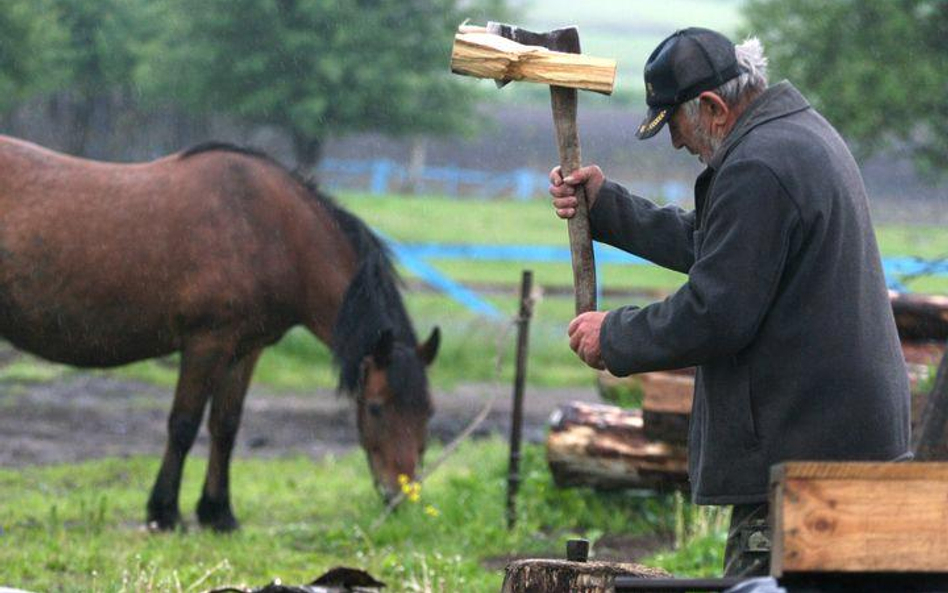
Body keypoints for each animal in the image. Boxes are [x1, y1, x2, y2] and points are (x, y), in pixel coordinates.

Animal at [0, 135, 440, 532]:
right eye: (376, 408)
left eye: (429, 412)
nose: (401, 495)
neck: (271, 230)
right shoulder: (206, 343)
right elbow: (184, 424)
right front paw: (163, 512)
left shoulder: (245, 349)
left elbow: (225, 426)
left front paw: (217, 512)